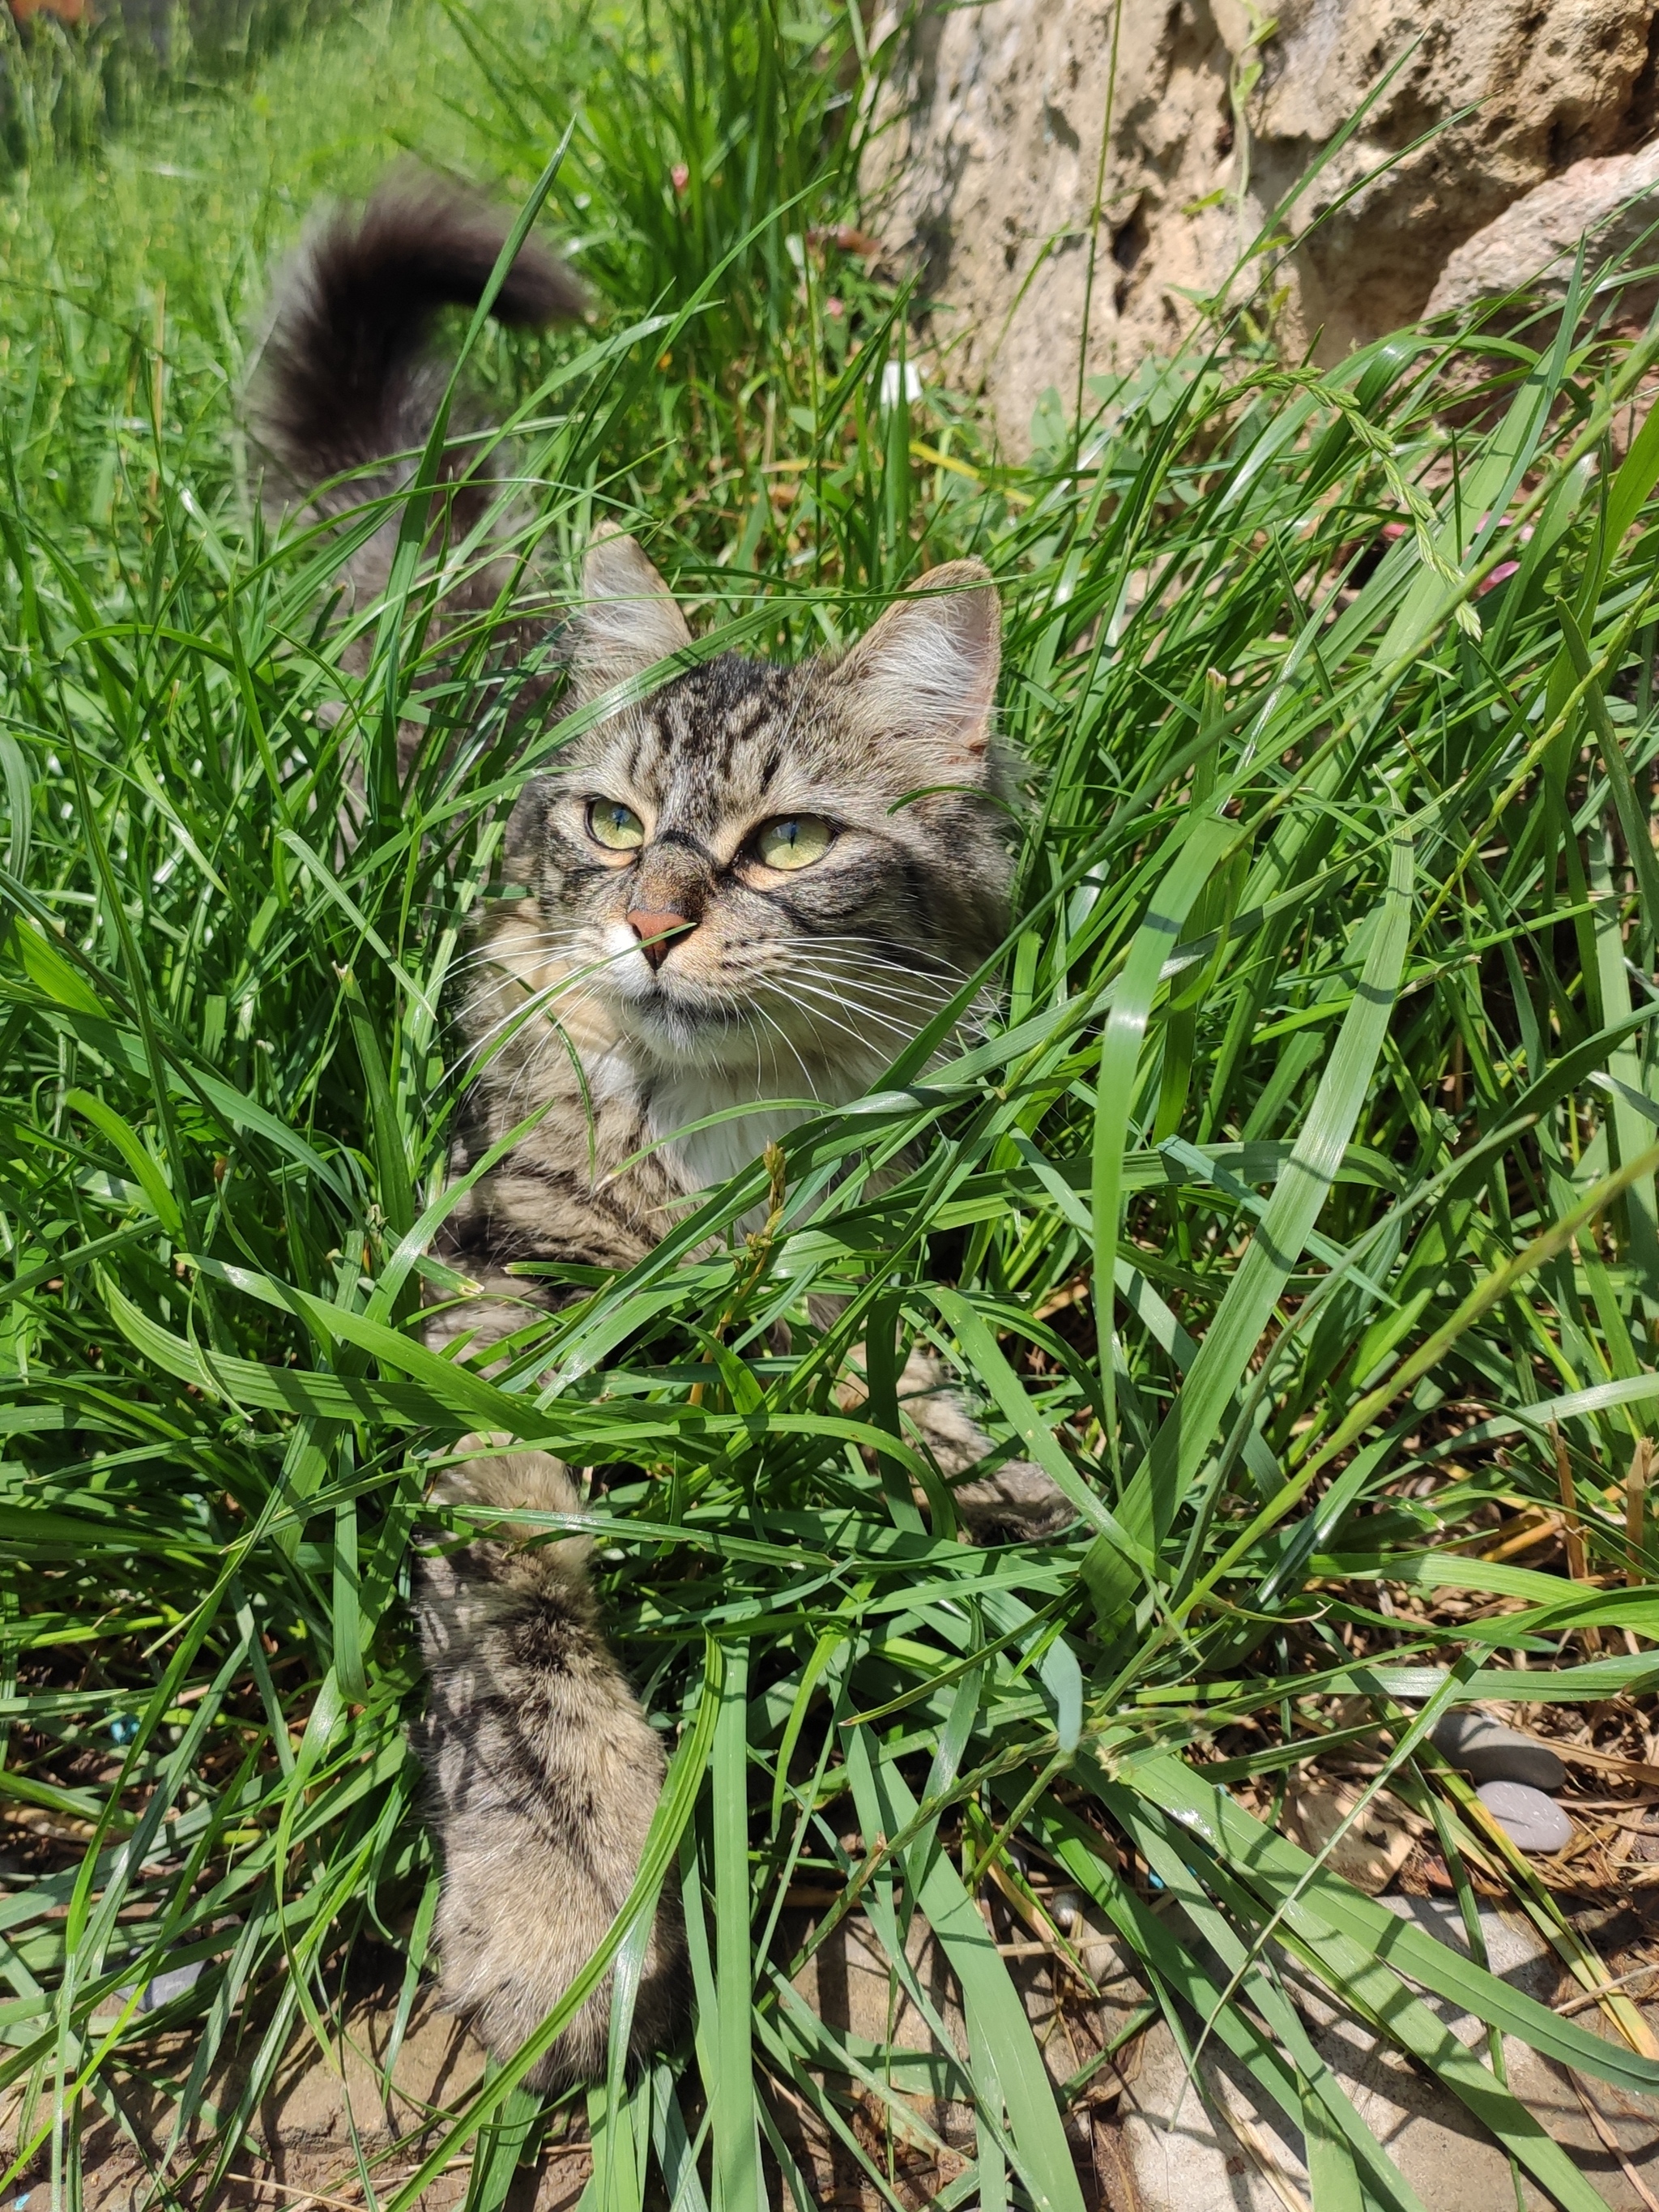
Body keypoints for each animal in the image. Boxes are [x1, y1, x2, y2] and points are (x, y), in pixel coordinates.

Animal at [253, 172, 1070, 2088]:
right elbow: (514, 1613)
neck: (700, 1140)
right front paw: (569, 1890)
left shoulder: (851, 1221)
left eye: (787, 843)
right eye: (614, 826)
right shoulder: (469, 1292)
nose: (648, 925)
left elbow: (891, 1358)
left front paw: (1006, 1474)